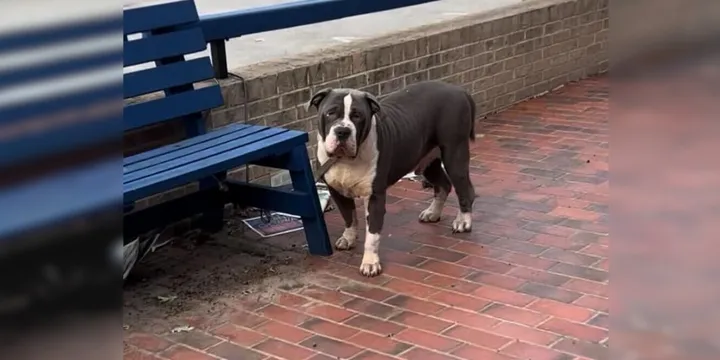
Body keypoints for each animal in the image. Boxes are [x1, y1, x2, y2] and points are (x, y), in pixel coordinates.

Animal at [306, 81, 476, 278]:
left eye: (357, 115)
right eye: (330, 112)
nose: (342, 130)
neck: (346, 160)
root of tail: (459, 89)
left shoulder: (375, 197)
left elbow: (372, 235)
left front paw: (370, 263)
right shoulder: (336, 191)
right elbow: (348, 216)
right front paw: (348, 238)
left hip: (454, 155)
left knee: (464, 189)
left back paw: (463, 221)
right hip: (427, 161)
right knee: (443, 184)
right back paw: (433, 213)